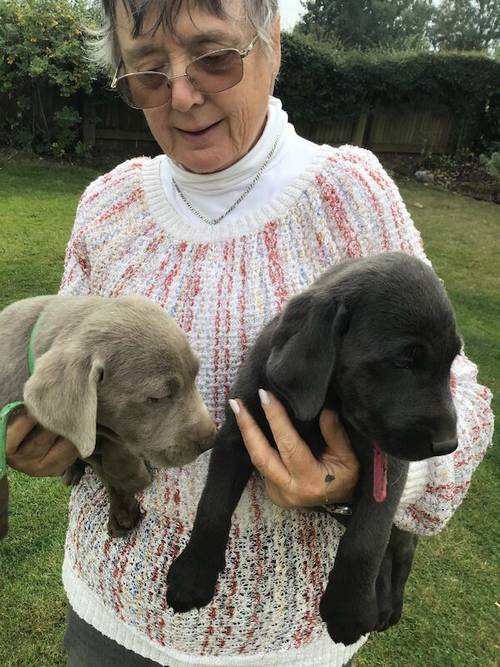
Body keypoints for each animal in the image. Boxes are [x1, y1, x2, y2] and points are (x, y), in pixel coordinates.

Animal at [167, 252, 460, 648]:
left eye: (452, 362)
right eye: (402, 361)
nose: (448, 445)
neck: (325, 405)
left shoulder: (386, 467)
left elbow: (366, 541)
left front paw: (348, 610)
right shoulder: (237, 433)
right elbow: (212, 507)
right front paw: (193, 574)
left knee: (401, 547)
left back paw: (387, 604)